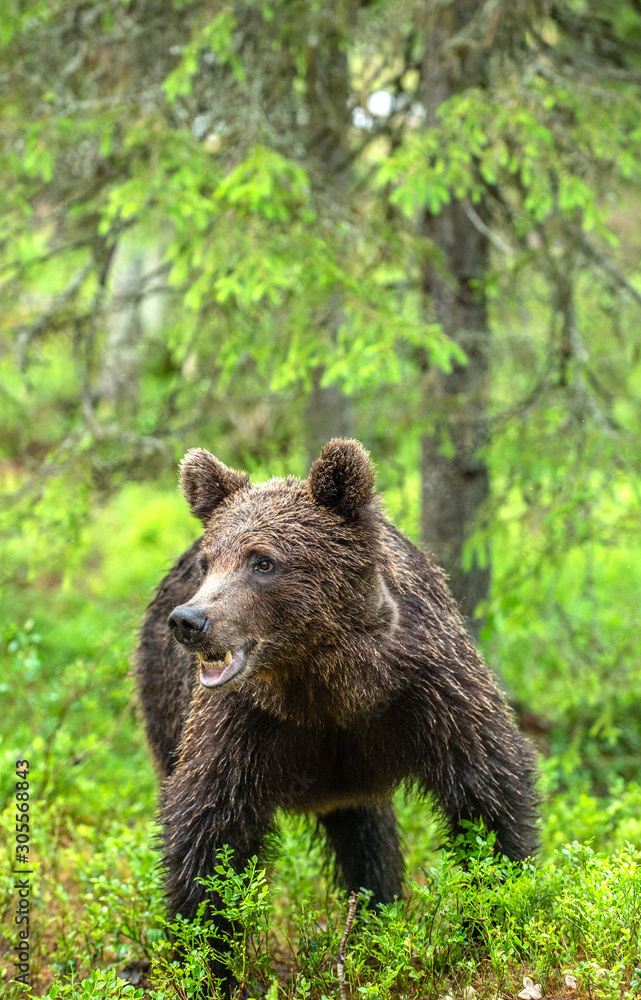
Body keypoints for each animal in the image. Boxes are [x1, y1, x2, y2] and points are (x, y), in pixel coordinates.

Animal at [138, 444, 536, 976]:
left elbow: (487, 794)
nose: (190, 621)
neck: (329, 681)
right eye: (208, 562)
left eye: (263, 561)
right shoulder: (242, 725)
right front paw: (206, 958)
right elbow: (207, 831)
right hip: (165, 709)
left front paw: (494, 916)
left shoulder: (431, 693)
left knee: (369, 840)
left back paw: (375, 913)